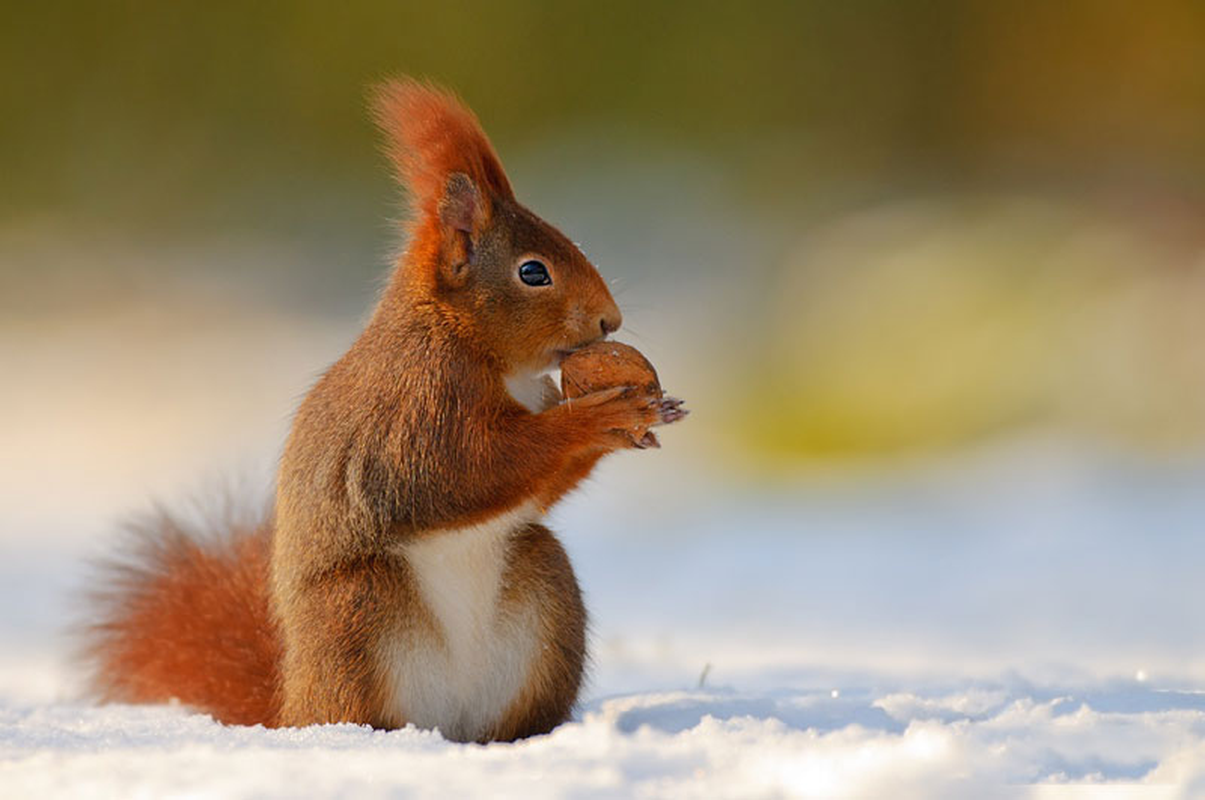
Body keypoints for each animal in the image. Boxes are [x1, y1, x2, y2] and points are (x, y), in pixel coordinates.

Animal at [80, 78, 689, 742]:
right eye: (533, 272)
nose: (611, 321)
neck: (470, 342)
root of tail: (293, 706)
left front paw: (640, 419)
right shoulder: (415, 403)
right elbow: (455, 474)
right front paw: (599, 417)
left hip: (545, 593)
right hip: (359, 611)